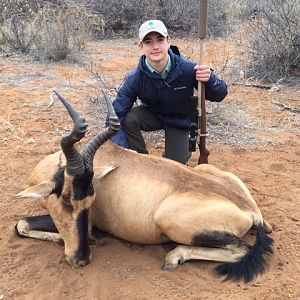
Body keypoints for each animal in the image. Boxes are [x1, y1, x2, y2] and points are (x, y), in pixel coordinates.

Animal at [15, 91, 274, 282]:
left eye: (82, 202)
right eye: (68, 200)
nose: (80, 260)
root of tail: (251, 211)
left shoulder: (89, 222)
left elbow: (21, 225)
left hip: (170, 220)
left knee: (242, 249)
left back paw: (174, 257)